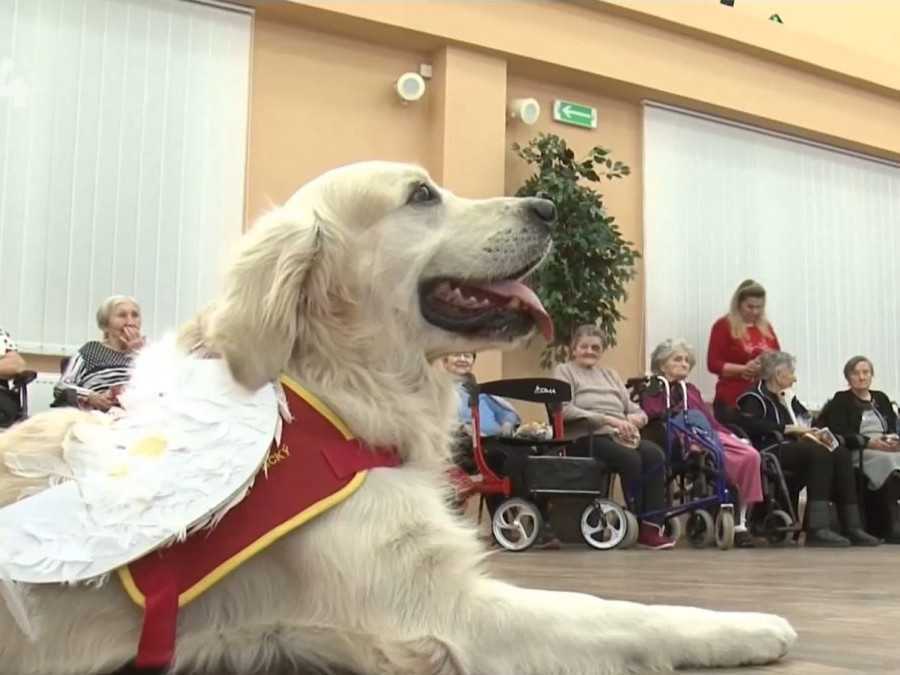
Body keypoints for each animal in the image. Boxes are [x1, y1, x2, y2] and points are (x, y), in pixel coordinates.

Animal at [0, 161, 796, 672]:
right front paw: (748, 625)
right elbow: (617, 610)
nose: (547, 208)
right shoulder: (441, 613)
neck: (337, 389)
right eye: (420, 194)